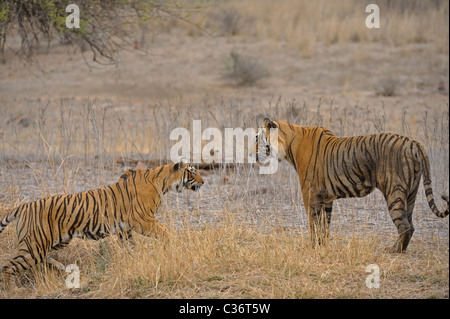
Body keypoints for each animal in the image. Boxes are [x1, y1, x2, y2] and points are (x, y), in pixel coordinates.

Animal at [0, 162, 204, 290]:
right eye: (193, 171)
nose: (204, 182)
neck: (163, 183)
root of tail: (23, 206)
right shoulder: (142, 220)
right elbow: (166, 231)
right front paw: (174, 243)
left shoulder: (125, 228)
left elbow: (130, 246)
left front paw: (133, 259)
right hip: (34, 245)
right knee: (8, 266)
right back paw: (13, 291)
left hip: (56, 241)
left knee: (43, 258)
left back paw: (62, 267)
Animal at [255, 119, 448, 254]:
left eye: (257, 138)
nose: (252, 153)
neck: (289, 144)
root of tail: (414, 142)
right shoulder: (326, 199)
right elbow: (325, 225)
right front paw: (323, 245)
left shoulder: (310, 195)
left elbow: (314, 224)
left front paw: (313, 247)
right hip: (411, 193)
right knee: (410, 224)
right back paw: (397, 248)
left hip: (395, 192)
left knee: (405, 226)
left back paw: (395, 251)